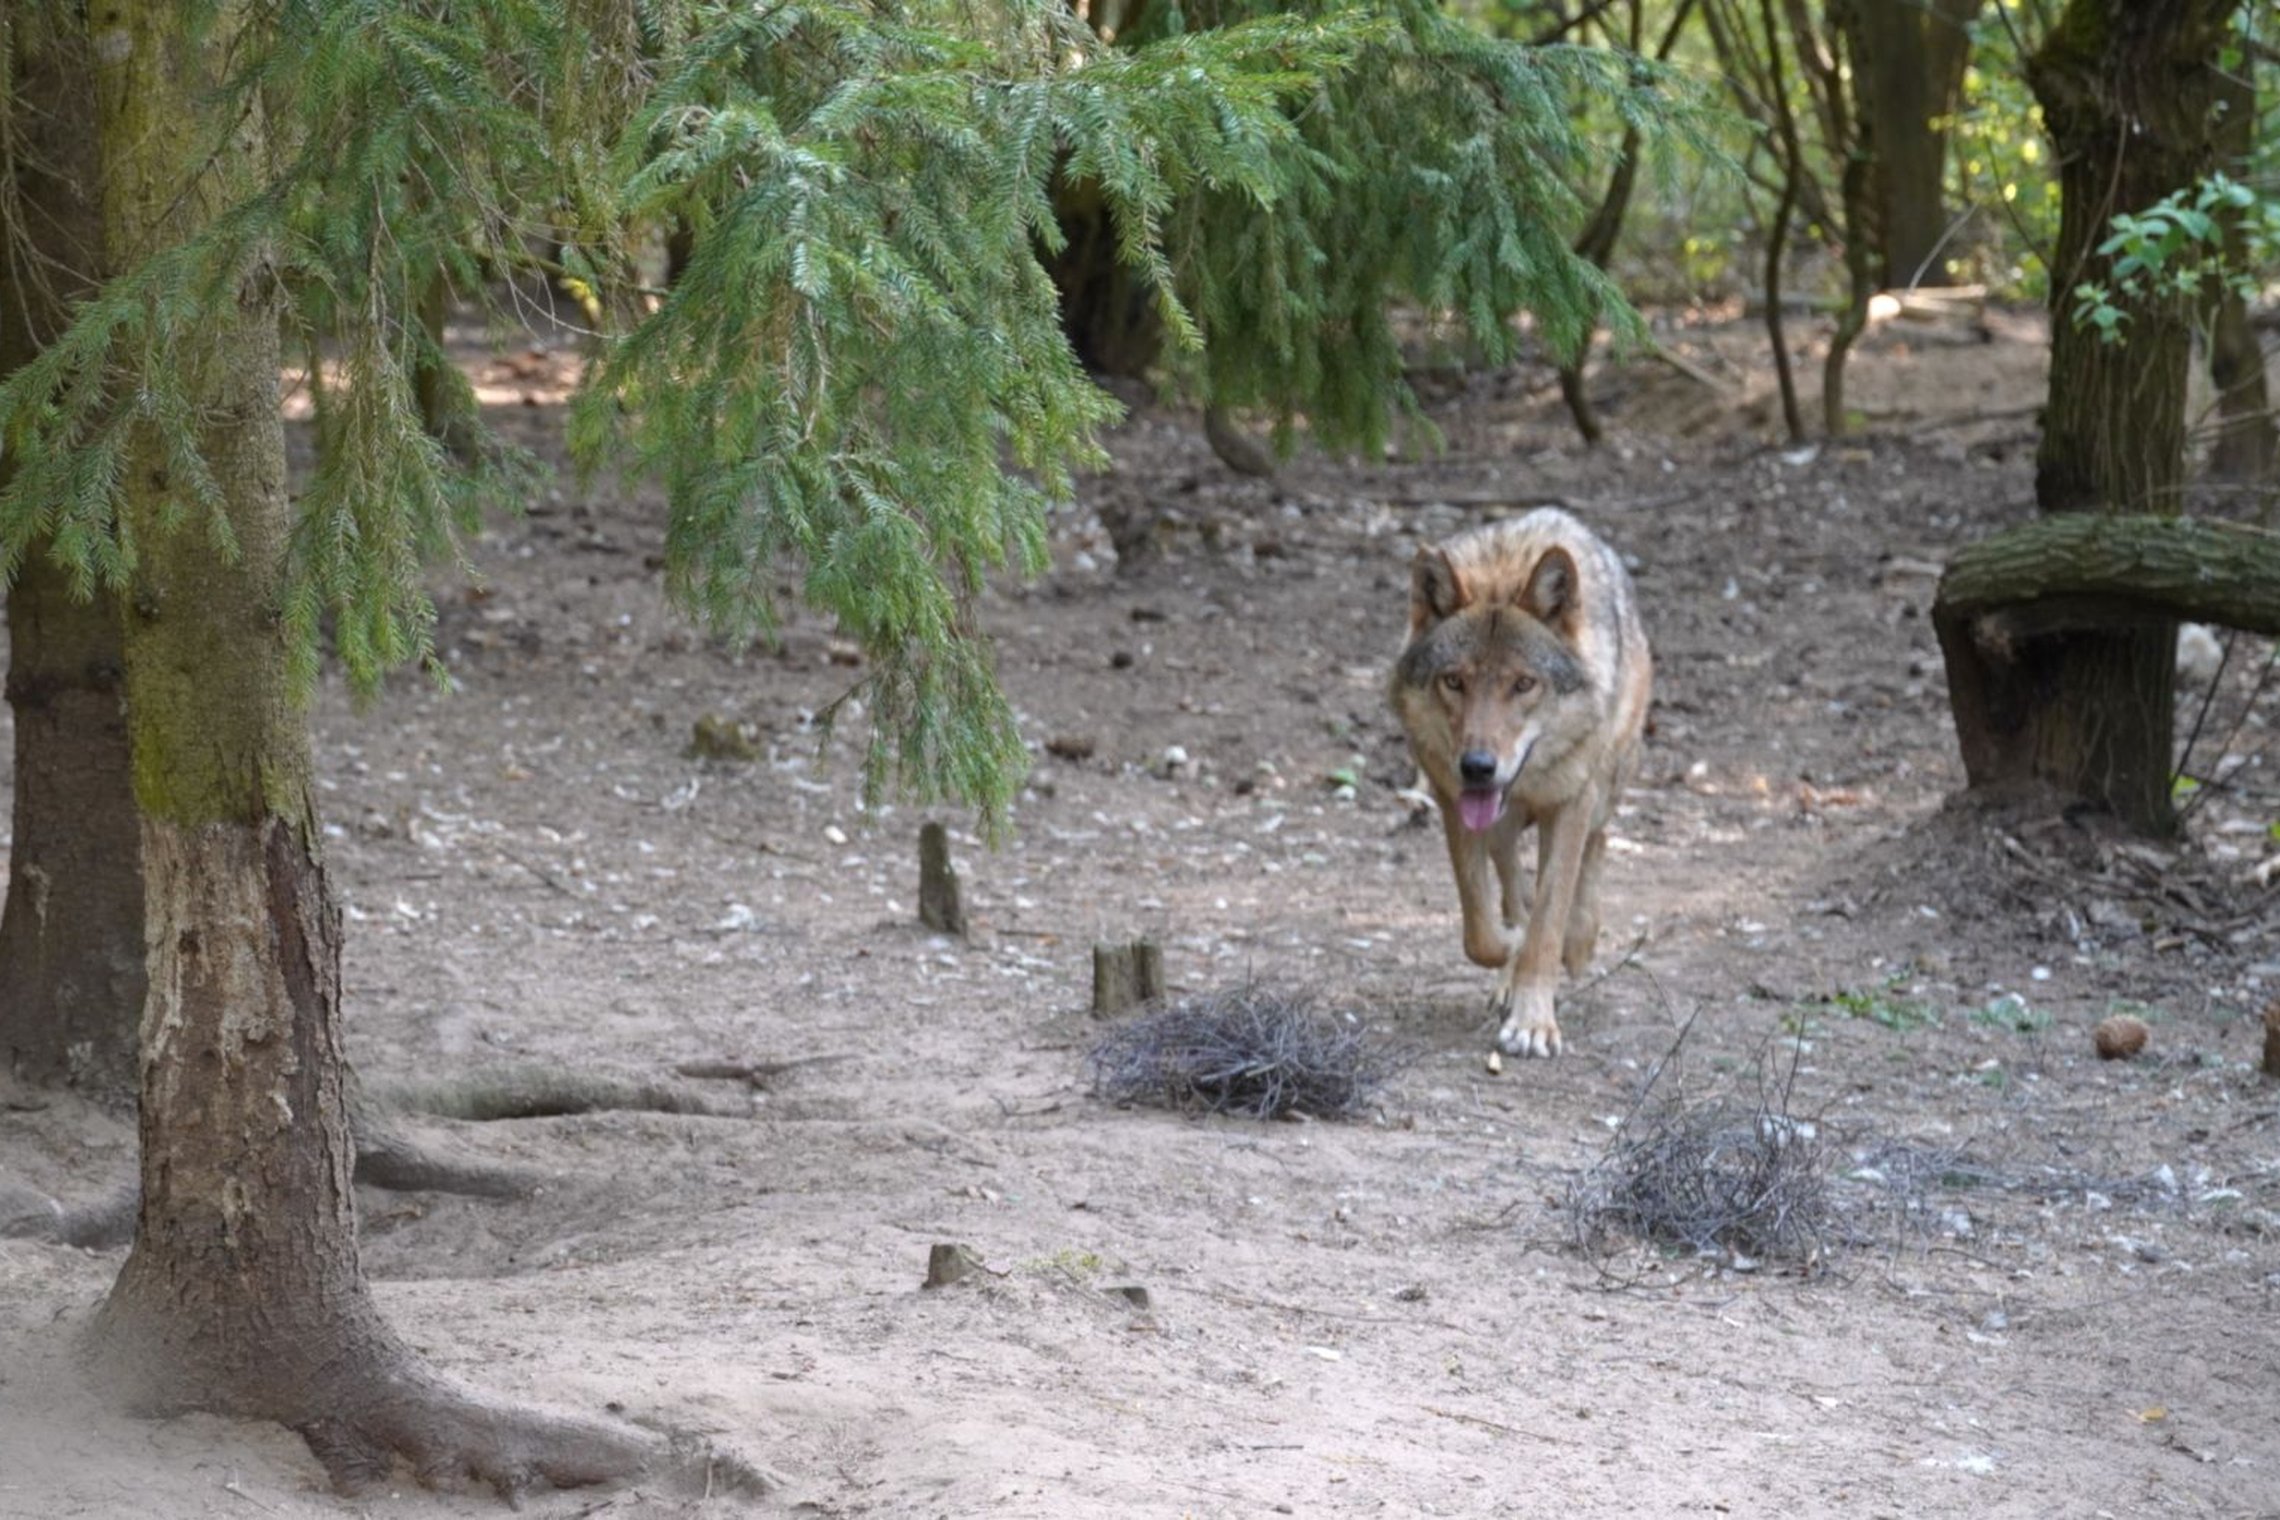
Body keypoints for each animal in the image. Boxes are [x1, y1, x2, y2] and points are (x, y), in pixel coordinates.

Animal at [1386, 510, 1659, 1057]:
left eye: (1524, 684)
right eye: (1454, 681)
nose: (1477, 766)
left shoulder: (1572, 802)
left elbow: (1548, 920)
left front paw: (1534, 1022)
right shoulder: (1454, 802)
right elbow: (1481, 926)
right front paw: (1510, 955)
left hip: (1605, 785)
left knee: (1596, 848)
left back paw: (1579, 944)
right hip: (1500, 827)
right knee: (1513, 889)